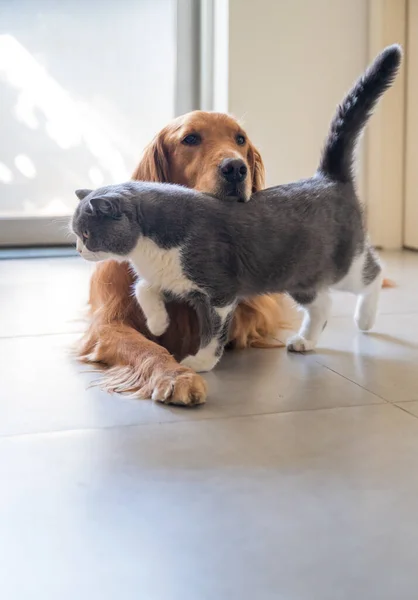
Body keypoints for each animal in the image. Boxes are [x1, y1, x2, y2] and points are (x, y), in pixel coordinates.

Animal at [72, 47, 402, 372]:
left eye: (86, 234)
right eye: (76, 234)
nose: (78, 249)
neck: (146, 250)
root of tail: (327, 178)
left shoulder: (219, 294)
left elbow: (212, 331)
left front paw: (200, 362)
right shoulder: (168, 278)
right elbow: (143, 289)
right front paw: (157, 323)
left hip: (344, 264)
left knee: (373, 274)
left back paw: (365, 317)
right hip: (297, 277)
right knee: (322, 304)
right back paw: (305, 341)